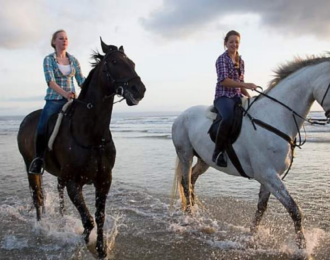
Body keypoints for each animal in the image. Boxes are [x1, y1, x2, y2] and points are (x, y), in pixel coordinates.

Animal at [16, 39, 146, 258]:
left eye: (133, 63)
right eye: (114, 62)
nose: (139, 90)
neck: (91, 133)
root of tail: (26, 119)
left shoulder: (103, 181)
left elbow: (99, 217)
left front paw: (101, 249)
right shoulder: (73, 183)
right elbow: (88, 220)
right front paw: (85, 241)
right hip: (30, 168)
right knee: (37, 198)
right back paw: (41, 227)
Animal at [171, 54, 330, 248]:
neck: (274, 117)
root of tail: (180, 116)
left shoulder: (270, 177)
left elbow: (261, 208)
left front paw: (251, 237)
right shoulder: (268, 175)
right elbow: (294, 210)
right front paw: (302, 248)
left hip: (204, 160)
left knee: (192, 179)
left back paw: (194, 213)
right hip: (185, 154)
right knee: (186, 183)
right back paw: (190, 218)